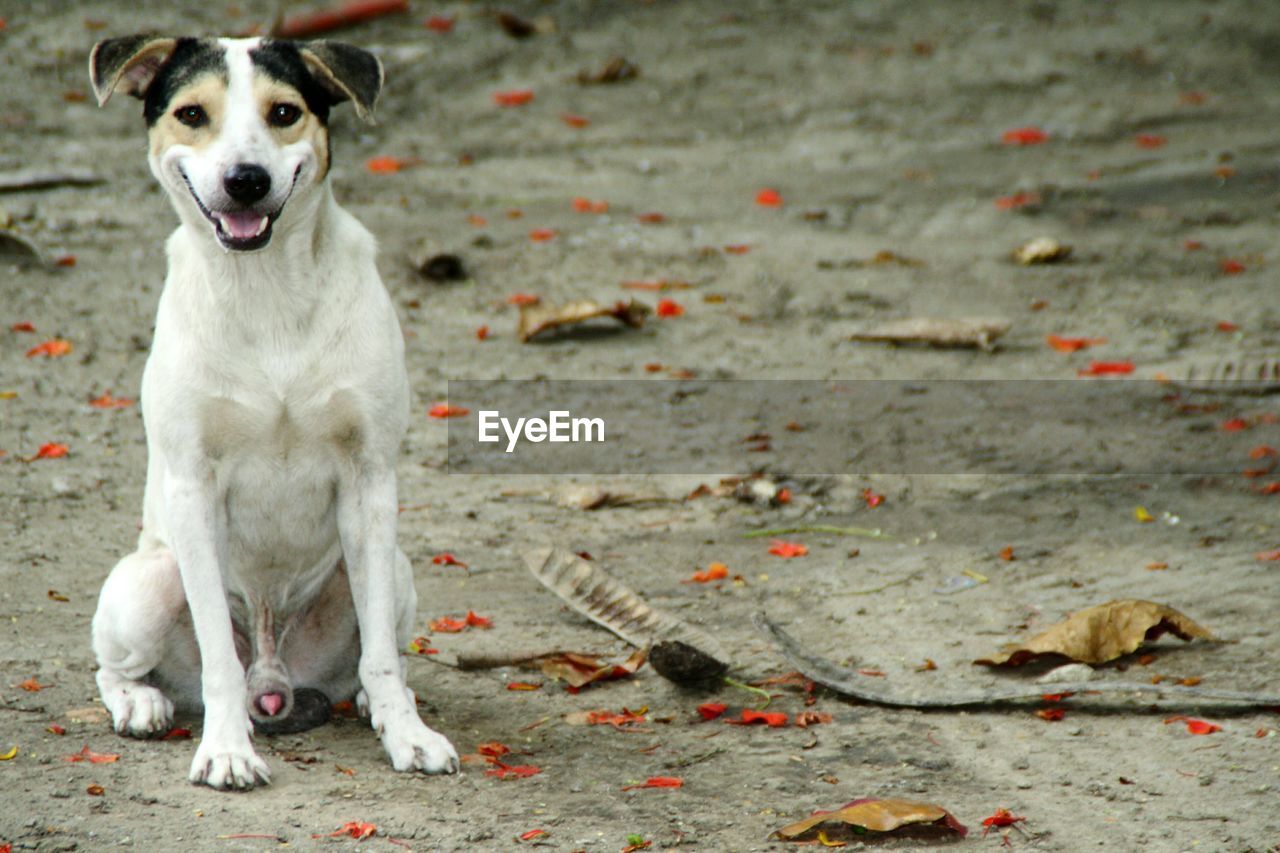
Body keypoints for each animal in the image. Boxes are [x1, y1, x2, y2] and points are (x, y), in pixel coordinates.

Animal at [85, 36, 458, 788]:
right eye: (192, 113)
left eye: (283, 112)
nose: (246, 180)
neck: (266, 291)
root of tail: (275, 678)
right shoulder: (194, 486)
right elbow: (217, 661)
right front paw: (227, 749)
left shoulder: (370, 481)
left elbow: (380, 653)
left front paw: (406, 734)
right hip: (147, 583)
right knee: (118, 666)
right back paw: (142, 701)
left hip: (394, 569)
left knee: (376, 656)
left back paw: (374, 702)